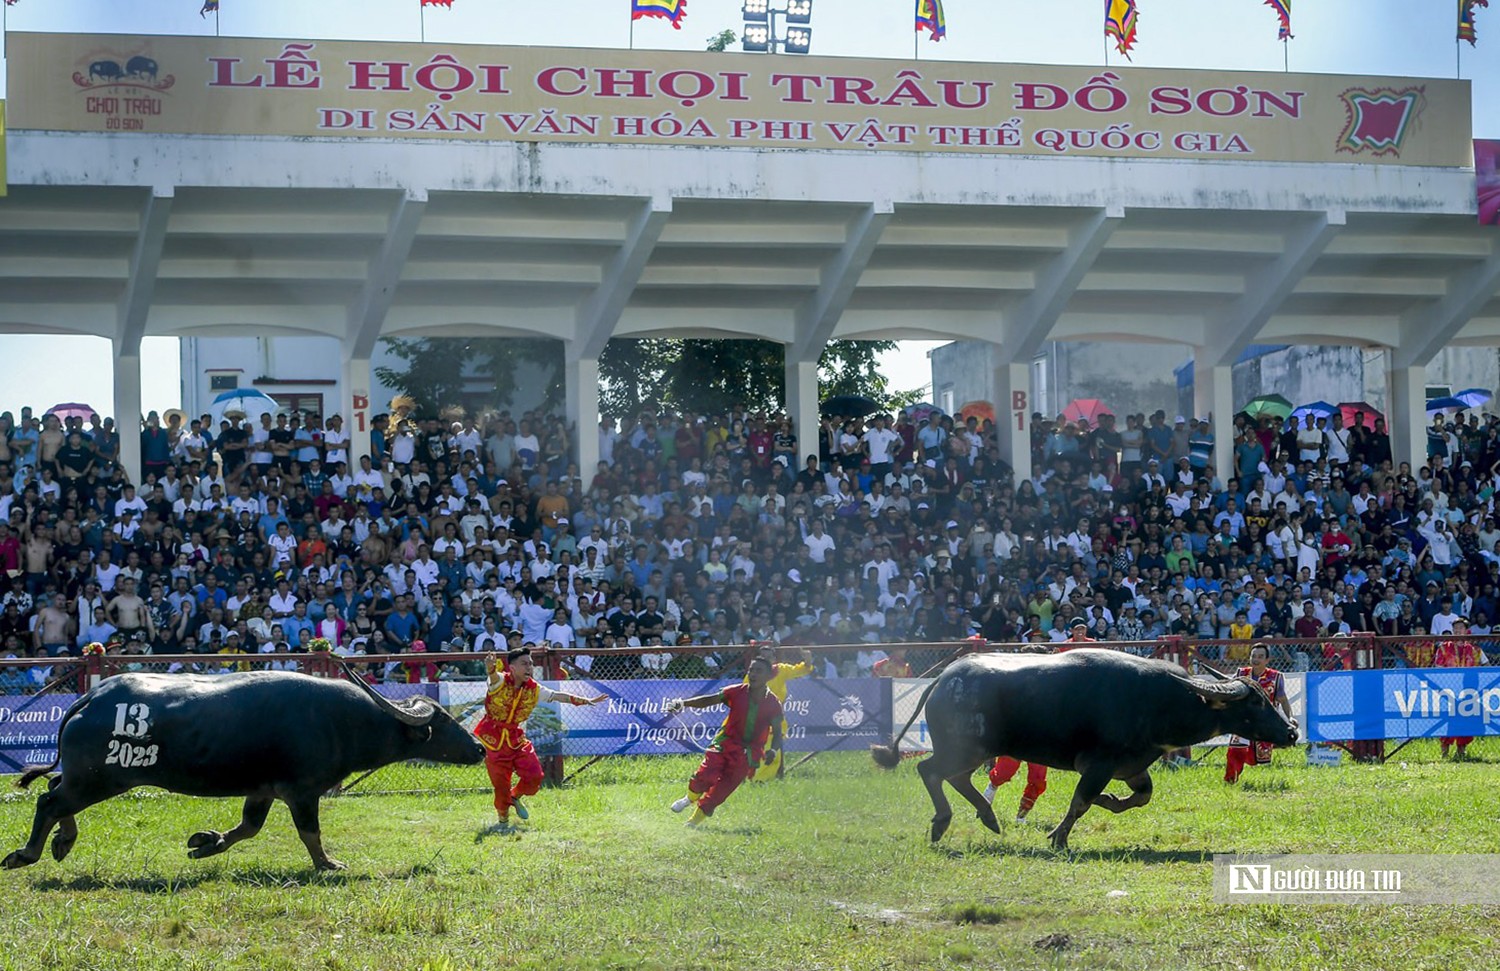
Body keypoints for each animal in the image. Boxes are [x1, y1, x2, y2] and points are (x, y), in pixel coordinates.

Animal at [4, 669, 480, 876]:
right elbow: (310, 833)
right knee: (50, 799)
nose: (477, 748)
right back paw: (26, 854)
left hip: (89, 776)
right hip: (102, 777)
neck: (343, 721)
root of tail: (91, 698)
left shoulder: (264, 789)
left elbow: (248, 827)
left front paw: (205, 844)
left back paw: (63, 842)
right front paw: (328, 864)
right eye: (443, 722)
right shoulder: (302, 791)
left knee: (55, 790)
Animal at [876, 654, 1296, 852]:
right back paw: (944, 823)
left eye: (1265, 696)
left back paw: (989, 818)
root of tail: (943, 680)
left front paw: (1109, 801)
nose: (1291, 731)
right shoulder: (1099, 764)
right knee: (931, 771)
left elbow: (1142, 797)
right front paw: (1058, 838)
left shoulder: (1132, 765)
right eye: (1255, 702)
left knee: (956, 778)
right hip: (965, 748)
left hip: (975, 751)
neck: (1163, 700)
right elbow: (1080, 801)